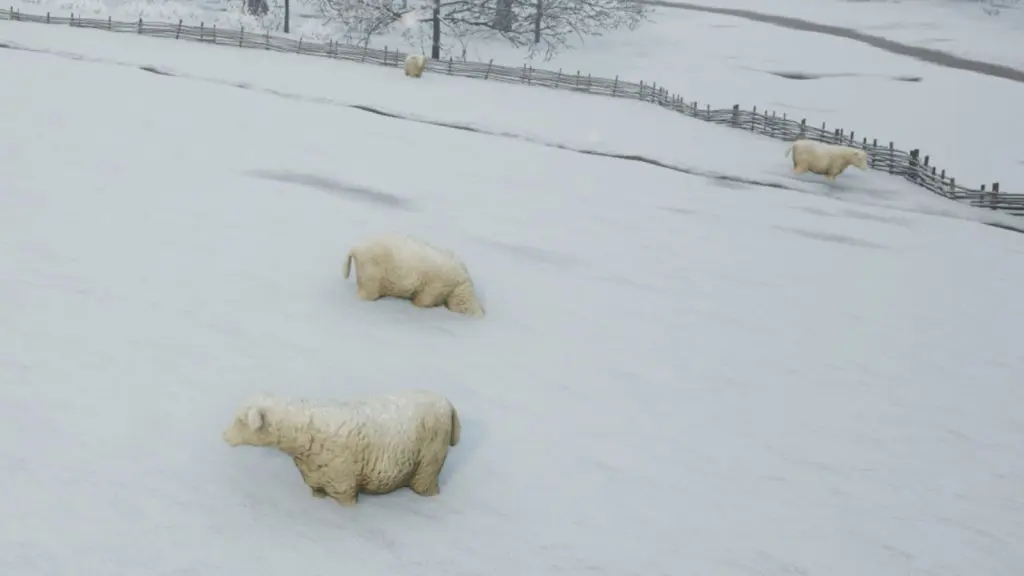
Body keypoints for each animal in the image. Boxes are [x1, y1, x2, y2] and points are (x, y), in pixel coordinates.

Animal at [226, 387, 466, 504]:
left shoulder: (343, 486)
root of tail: (448, 403)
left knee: (426, 485)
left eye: (241, 420)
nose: (224, 436)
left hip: (429, 459)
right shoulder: (318, 481)